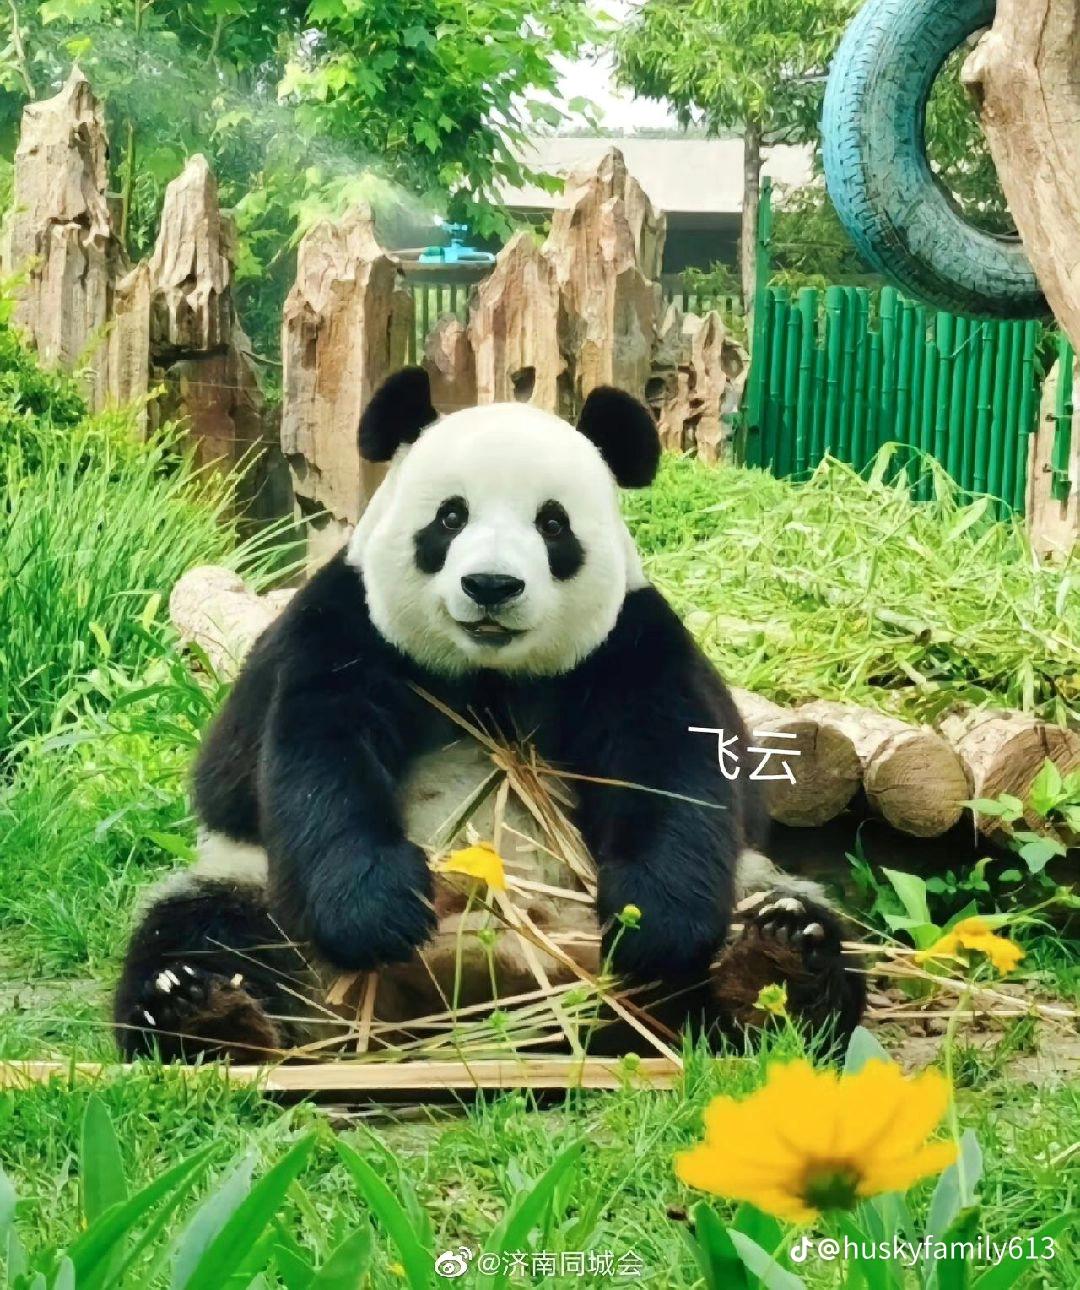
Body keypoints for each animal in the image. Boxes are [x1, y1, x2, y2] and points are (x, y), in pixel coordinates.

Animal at [114, 369, 865, 1061]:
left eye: (553, 524)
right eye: (450, 518)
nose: (492, 586)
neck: (489, 675)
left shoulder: (629, 646)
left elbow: (674, 768)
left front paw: (653, 923)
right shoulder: (347, 630)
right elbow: (318, 761)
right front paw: (377, 911)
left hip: (737, 895)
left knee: (792, 926)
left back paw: (777, 966)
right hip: (256, 893)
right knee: (204, 930)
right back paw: (201, 1013)